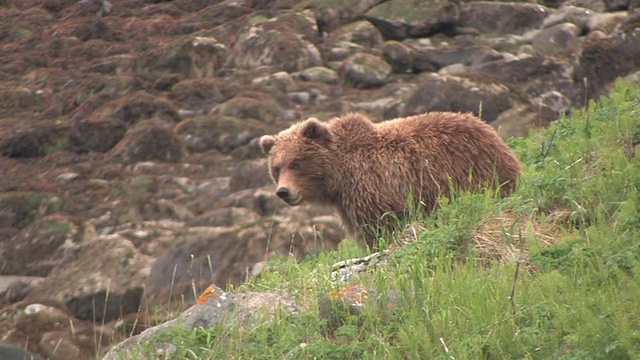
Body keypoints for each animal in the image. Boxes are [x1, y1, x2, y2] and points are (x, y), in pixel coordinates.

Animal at [260, 112, 520, 248]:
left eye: (296, 163)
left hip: (471, 174)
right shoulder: (347, 203)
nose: (283, 191)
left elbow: (380, 227)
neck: (339, 175)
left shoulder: (373, 187)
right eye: (276, 168)